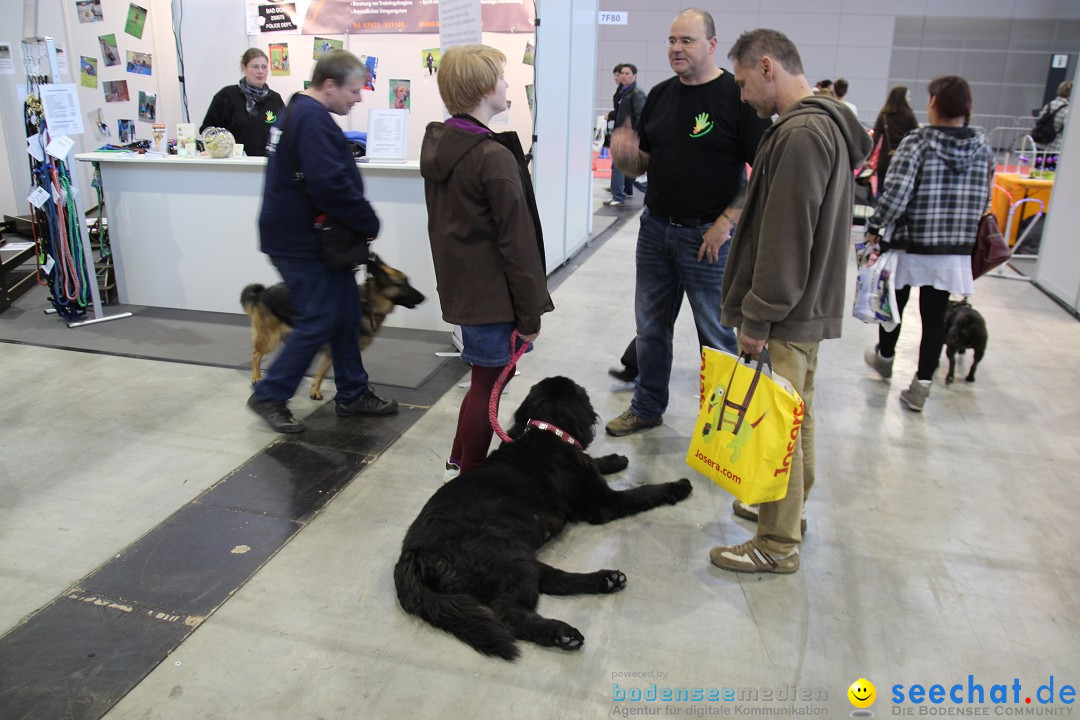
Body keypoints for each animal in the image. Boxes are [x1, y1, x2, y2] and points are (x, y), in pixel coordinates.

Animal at [241, 253, 425, 399]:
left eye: (408, 281)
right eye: (402, 284)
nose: (424, 298)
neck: (367, 304)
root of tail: (264, 292)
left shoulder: (332, 352)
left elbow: (321, 373)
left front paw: (314, 390)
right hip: (270, 338)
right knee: (256, 354)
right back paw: (257, 376)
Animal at [395, 375, 691, 660]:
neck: (547, 432)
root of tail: (413, 553)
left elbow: (594, 460)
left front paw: (616, 459)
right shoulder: (603, 503)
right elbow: (642, 492)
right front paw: (677, 487)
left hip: (516, 557)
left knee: (554, 579)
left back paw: (606, 580)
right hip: (510, 560)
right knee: (512, 613)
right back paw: (562, 633)